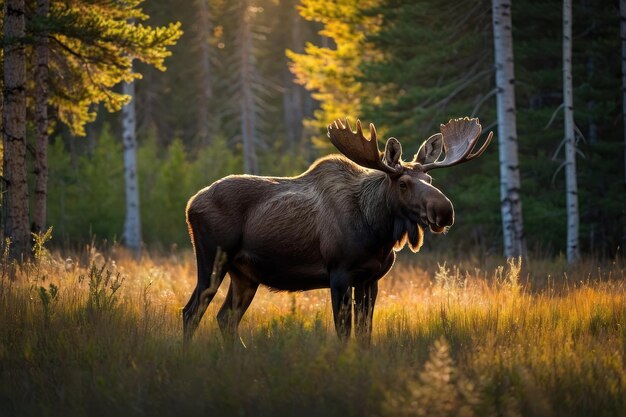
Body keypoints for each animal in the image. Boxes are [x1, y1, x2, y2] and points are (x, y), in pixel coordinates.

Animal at [183, 116, 490, 342]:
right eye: (403, 183)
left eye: (429, 178)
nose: (445, 211)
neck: (377, 234)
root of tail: (190, 204)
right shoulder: (339, 274)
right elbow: (345, 333)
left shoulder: (370, 279)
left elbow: (365, 334)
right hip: (212, 259)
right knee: (191, 312)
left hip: (245, 274)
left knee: (225, 318)